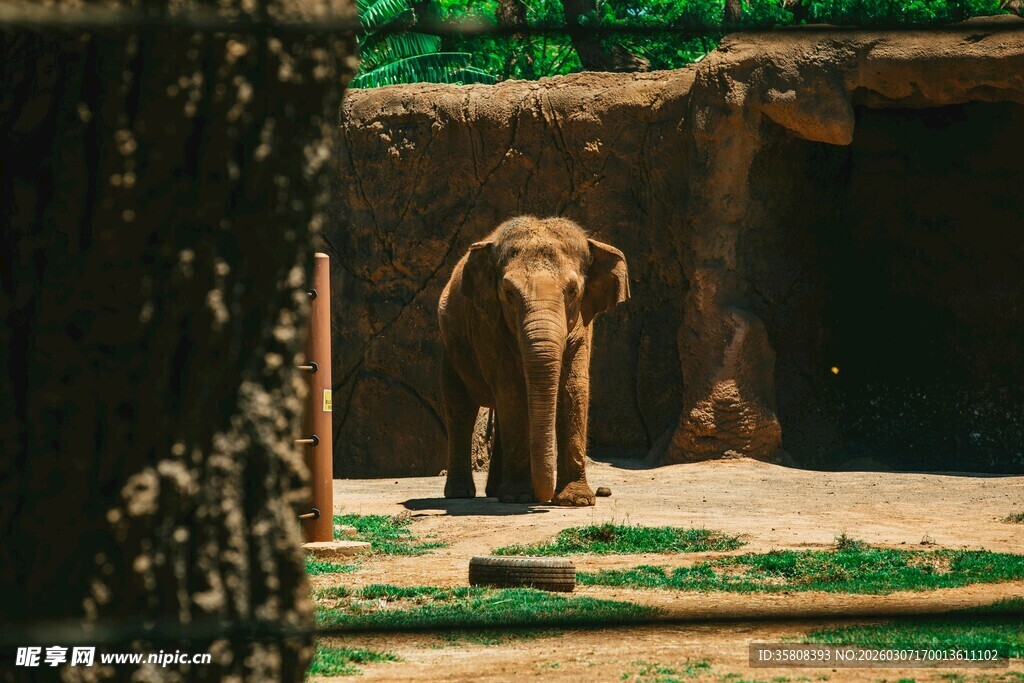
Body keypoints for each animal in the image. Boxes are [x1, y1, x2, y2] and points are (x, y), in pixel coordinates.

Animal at [438, 216, 630, 506]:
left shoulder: (583, 325)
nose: (544, 498)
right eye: (508, 293)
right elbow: (513, 390)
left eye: (572, 291)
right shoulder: (489, 325)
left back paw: (494, 491)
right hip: (450, 346)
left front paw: (576, 501)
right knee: (461, 409)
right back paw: (461, 494)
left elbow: (573, 390)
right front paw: (518, 497)